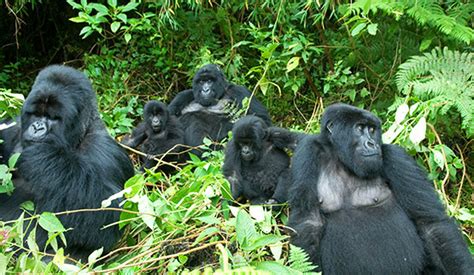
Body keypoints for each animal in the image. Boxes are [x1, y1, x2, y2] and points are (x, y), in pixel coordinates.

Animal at [0, 66, 134, 262]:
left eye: (53, 118)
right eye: (36, 114)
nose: (37, 127)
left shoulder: (107, 152)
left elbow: (110, 214)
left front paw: (43, 156)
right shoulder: (11, 128)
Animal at [288, 104, 474, 275]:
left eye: (372, 130)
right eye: (359, 128)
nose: (372, 144)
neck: (342, 160)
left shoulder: (396, 156)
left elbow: (432, 224)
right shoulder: (307, 152)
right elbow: (309, 223)